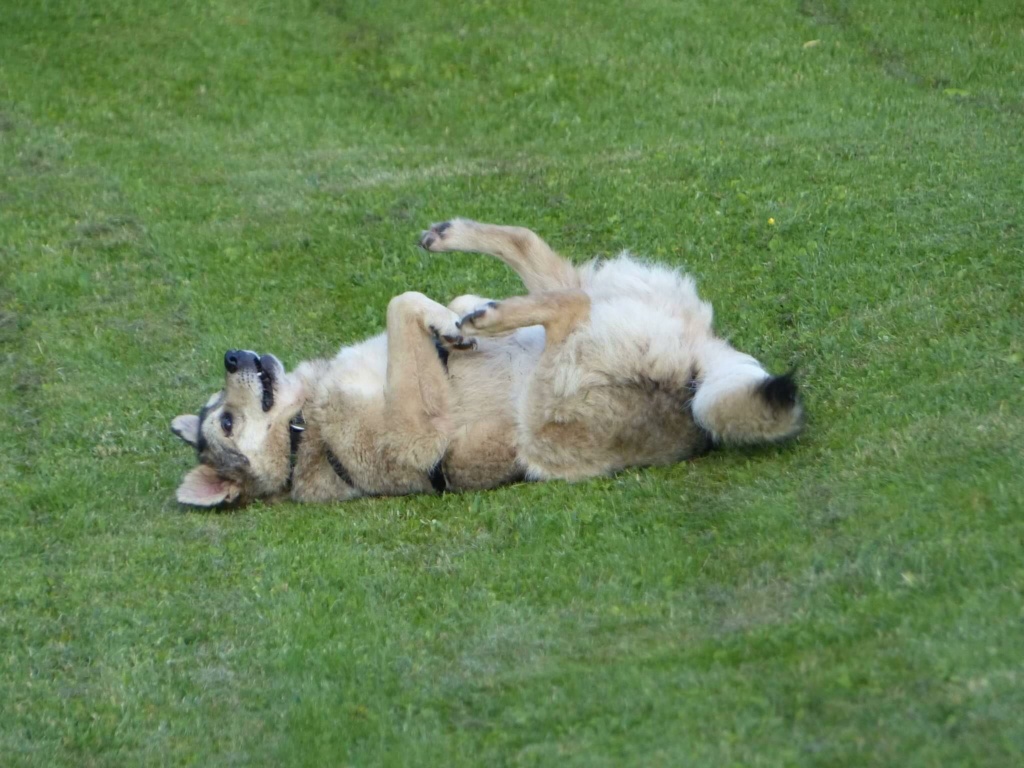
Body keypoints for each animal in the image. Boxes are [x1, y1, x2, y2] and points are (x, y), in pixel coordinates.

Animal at [172, 221, 802, 512]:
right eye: (226, 423)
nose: (231, 356)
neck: (305, 429)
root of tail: (696, 365)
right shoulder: (417, 430)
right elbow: (400, 301)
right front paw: (448, 322)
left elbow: (414, 303)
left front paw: (447, 319)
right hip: (552, 398)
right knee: (569, 306)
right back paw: (489, 313)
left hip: (580, 299)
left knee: (533, 254)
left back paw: (455, 250)